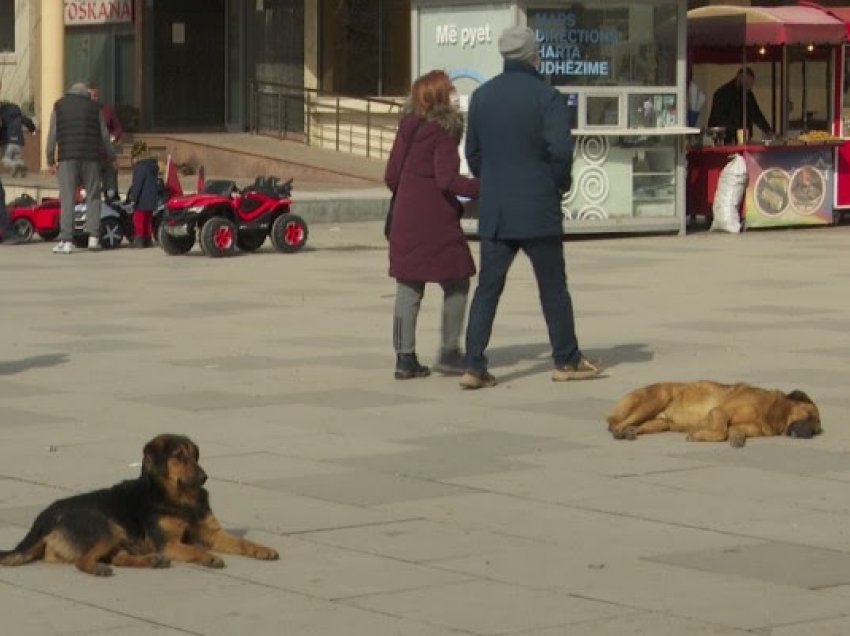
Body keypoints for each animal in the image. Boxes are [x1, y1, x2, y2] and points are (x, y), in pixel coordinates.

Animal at [0, 432, 280, 576]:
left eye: (194, 455)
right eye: (178, 457)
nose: (203, 477)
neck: (180, 499)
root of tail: (44, 517)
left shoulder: (213, 534)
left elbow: (243, 542)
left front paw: (263, 549)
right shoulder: (168, 543)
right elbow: (193, 549)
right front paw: (208, 557)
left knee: (118, 557)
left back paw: (151, 562)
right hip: (106, 526)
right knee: (84, 560)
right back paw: (99, 569)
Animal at [608, 382, 820, 448]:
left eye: (817, 429)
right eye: (810, 416)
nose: (809, 434)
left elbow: (733, 432)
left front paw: (738, 438)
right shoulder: (719, 411)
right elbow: (720, 431)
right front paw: (697, 434)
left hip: (660, 423)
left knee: (638, 425)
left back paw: (630, 432)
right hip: (658, 397)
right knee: (615, 424)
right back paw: (619, 431)